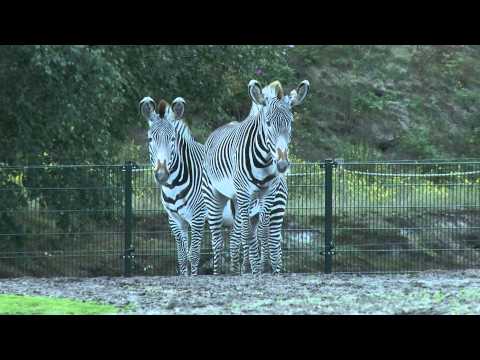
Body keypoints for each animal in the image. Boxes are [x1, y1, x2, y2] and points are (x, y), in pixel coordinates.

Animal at [139, 95, 206, 276]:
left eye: (173, 139)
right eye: (150, 139)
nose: (162, 175)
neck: (173, 186)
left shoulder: (197, 217)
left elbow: (194, 255)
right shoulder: (175, 220)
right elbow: (182, 257)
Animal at [201, 79, 310, 276]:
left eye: (290, 123)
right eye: (268, 123)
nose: (282, 165)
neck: (264, 161)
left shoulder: (268, 193)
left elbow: (263, 232)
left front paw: (266, 267)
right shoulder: (245, 193)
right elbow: (248, 234)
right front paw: (256, 268)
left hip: (242, 200)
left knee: (238, 235)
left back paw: (237, 269)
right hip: (214, 195)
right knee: (217, 237)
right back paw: (219, 272)